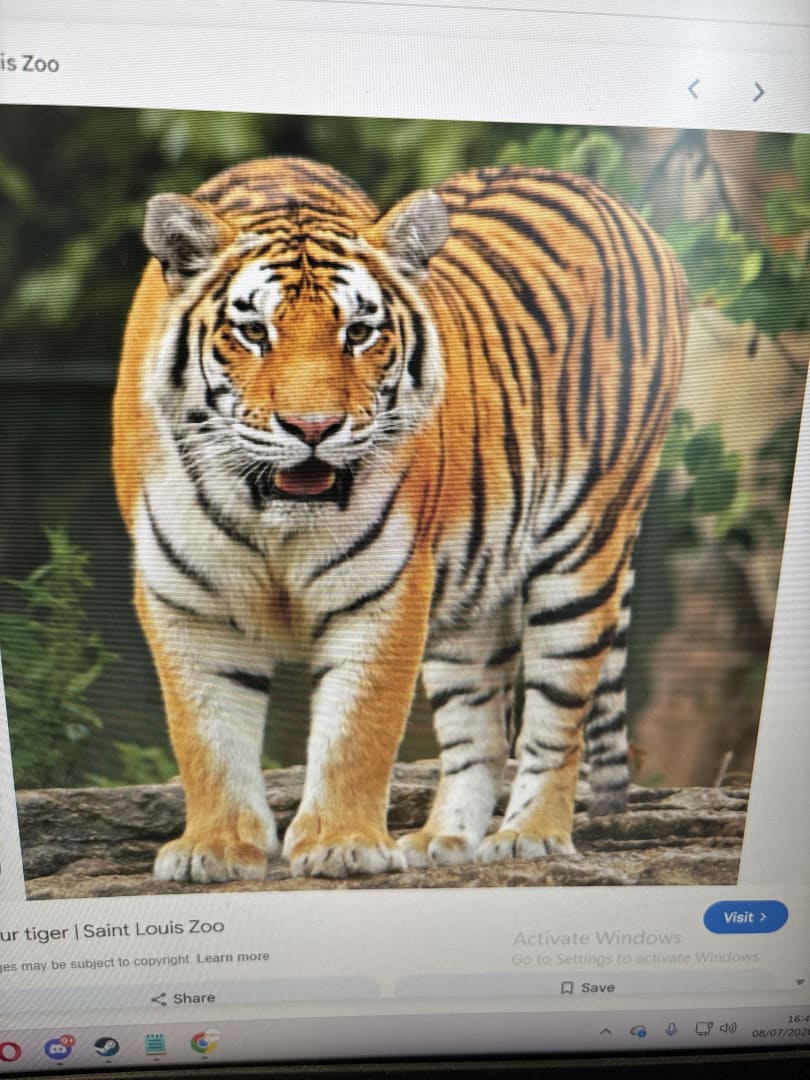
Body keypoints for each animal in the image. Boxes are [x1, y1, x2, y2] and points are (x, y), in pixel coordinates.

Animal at [113, 156, 687, 882]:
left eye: (358, 332)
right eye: (254, 332)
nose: (313, 429)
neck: (271, 514)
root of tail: (610, 198)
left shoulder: (385, 588)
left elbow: (358, 728)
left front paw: (342, 844)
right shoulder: (186, 600)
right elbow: (207, 736)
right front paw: (215, 849)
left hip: (585, 551)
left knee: (557, 717)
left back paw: (529, 836)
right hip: (471, 595)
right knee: (479, 728)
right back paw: (446, 839)